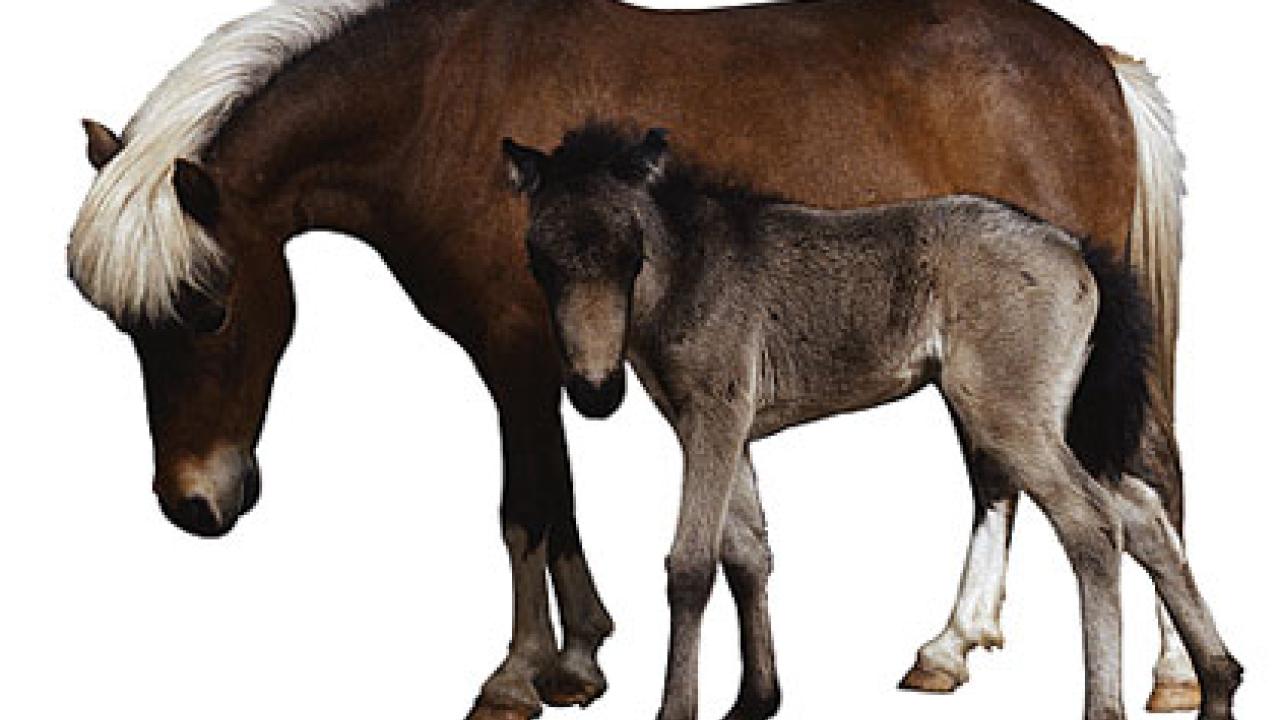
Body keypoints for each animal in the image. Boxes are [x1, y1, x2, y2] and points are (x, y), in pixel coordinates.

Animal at [502, 122, 1239, 720]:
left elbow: (691, 563)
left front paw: (677, 708)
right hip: (1054, 420)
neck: (693, 270)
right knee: (1144, 514)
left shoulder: (714, 413)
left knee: (1094, 524)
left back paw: (1106, 703)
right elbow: (748, 551)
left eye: (632, 256)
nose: (594, 392)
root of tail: (1078, 249)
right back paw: (1217, 682)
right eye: (539, 260)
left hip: (1011, 417)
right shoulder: (720, 426)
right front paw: (755, 700)